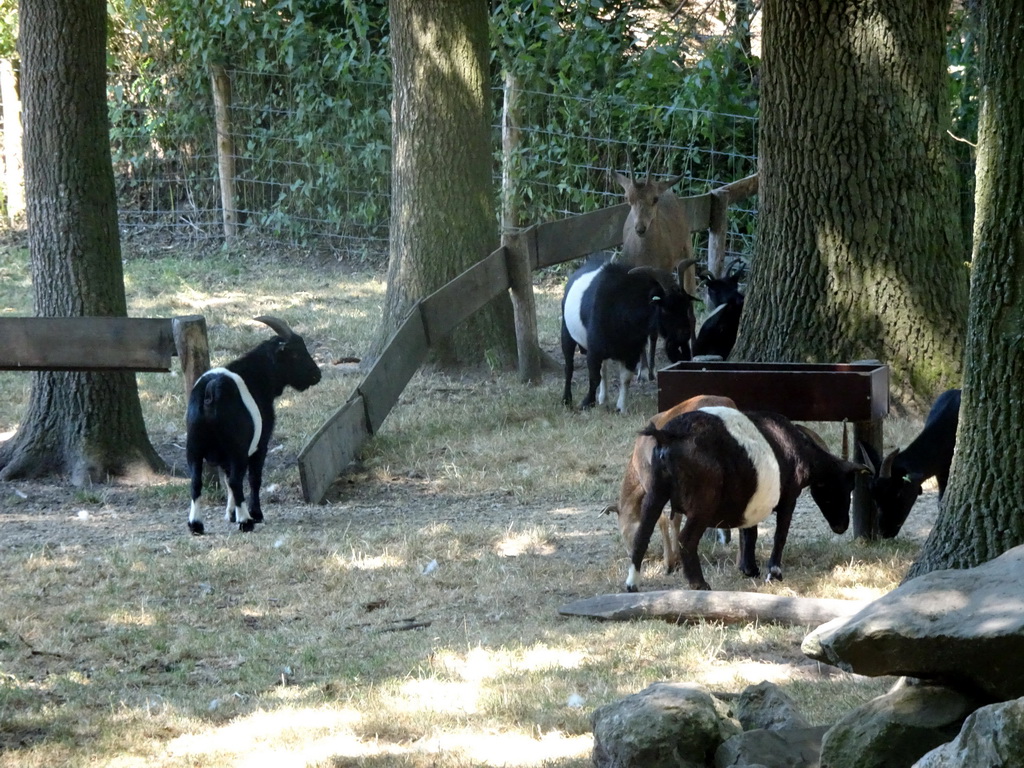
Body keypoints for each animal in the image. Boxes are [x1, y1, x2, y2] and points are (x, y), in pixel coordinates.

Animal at [186, 317, 321, 536]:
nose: (316, 374)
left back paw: (196, 525)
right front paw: (255, 514)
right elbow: (253, 479)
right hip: (237, 449)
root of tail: (212, 390)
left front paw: (231, 515)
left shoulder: (223, 456)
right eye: (295, 352)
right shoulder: (261, 444)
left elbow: (227, 480)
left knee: (196, 483)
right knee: (236, 480)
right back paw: (246, 522)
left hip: (194, 449)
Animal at [561, 253, 696, 411]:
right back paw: (566, 399)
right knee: (569, 366)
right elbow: (594, 377)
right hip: (566, 332)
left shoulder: (631, 352)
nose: (685, 333)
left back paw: (603, 399)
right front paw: (586, 402)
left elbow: (625, 378)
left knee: (604, 370)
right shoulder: (594, 349)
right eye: (665, 308)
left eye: (686, 306)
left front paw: (621, 408)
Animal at [622, 409, 864, 593]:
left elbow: (750, 533)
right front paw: (774, 573)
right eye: (845, 486)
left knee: (642, 534)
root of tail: (668, 435)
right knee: (686, 539)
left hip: (655, 493)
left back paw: (632, 584)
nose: (841, 526)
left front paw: (750, 569)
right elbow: (780, 534)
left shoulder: (751, 501)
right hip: (702, 504)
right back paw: (699, 584)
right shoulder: (788, 498)